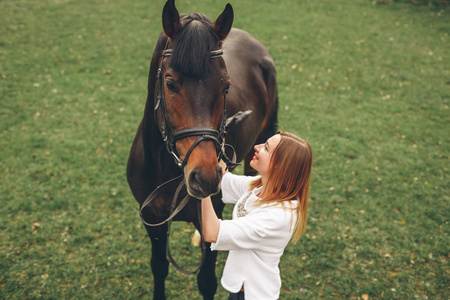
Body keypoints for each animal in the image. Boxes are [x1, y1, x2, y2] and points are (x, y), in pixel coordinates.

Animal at [126, 1, 280, 298]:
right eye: (170, 83)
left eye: (226, 85)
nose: (205, 177)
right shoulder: (152, 221)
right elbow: (159, 267)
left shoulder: (212, 220)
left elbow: (207, 280)